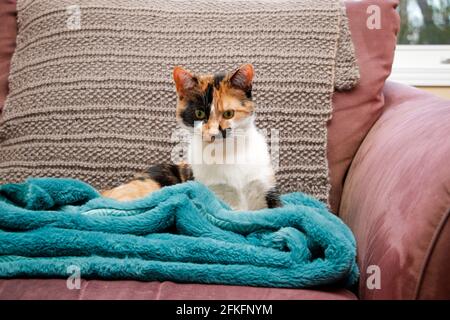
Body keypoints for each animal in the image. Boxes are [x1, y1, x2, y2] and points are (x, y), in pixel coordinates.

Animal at [101, 64, 282, 210]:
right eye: (199, 113)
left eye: (229, 114)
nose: (214, 132)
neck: (226, 154)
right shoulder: (213, 194)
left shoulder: (268, 191)